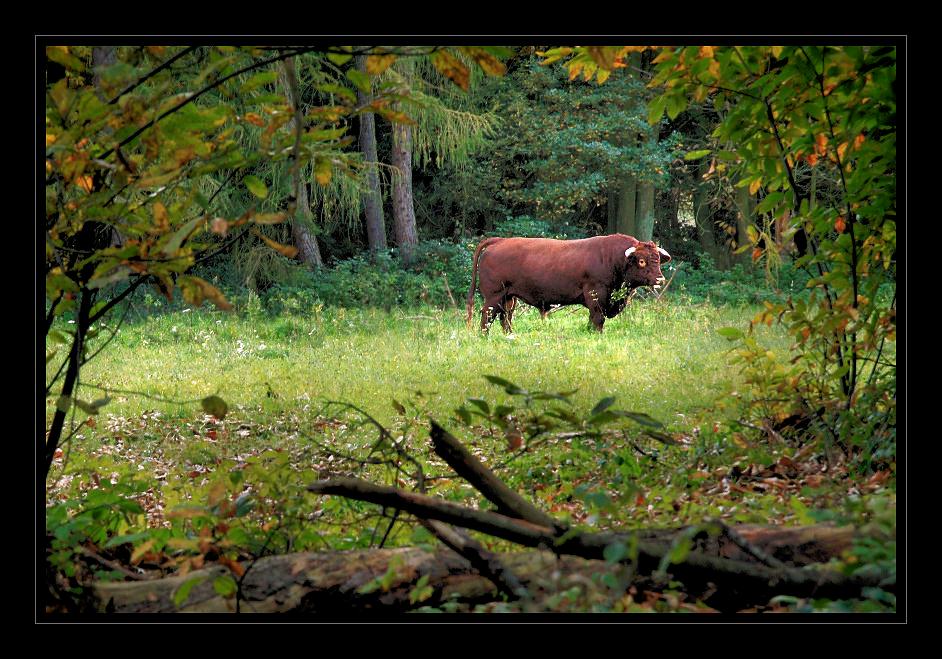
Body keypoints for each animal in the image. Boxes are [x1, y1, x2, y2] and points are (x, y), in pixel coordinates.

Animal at [464, 235, 672, 332]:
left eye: (658, 260)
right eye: (642, 261)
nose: (660, 279)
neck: (614, 258)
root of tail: (500, 241)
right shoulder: (596, 296)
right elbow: (597, 318)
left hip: (509, 297)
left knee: (505, 317)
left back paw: (510, 335)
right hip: (494, 295)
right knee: (487, 315)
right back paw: (484, 336)